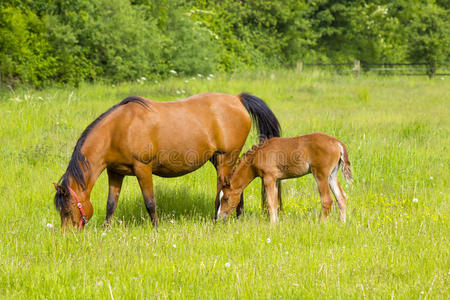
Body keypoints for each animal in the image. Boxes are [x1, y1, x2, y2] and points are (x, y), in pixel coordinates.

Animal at [51, 92, 278, 229]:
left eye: (68, 210)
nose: (67, 237)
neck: (118, 129)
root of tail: (237, 99)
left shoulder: (142, 170)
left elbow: (150, 202)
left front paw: (156, 229)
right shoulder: (115, 172)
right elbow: (111, 204)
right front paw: (106, 230)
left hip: (226, 157)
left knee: (223, 189)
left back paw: (217, 221)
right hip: (219, 159)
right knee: (236, 188)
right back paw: (237, 219)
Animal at [217, 133, 352, 223]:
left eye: (226, 198)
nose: (220, 217)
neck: (257, 156)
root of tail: (337, 143)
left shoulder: (268, 178)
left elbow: (270, 203)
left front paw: (272, 226)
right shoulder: (276, 180)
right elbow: (275, 203)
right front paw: (276, 223)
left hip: (321, 175)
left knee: (327, 200)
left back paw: (320, 224)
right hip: (332, 175)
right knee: (341, 197)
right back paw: (342, 223)